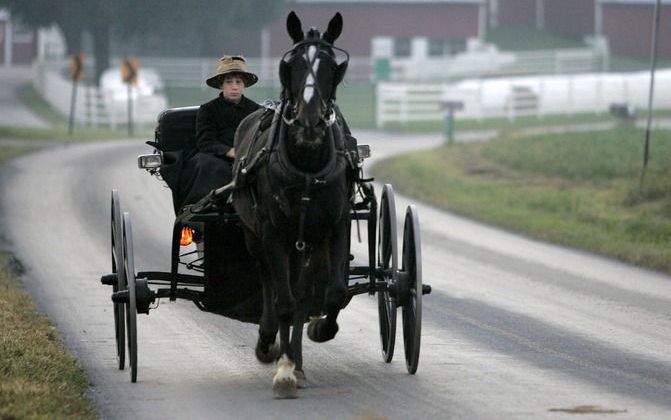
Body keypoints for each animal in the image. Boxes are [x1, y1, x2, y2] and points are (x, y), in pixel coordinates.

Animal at [232, 9, 352, 398]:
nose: (309, 123)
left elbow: (332, 294)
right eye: (292, 65)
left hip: (306, 244)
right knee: (271, 284)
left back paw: (298, 360)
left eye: (331, 66)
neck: (308, 164)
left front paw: (319, 331)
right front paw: (282, 369)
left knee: (300, 292)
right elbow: (283, 302)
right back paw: (270, 344)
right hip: (255, 237)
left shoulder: (335, 227)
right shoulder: (272, 233)